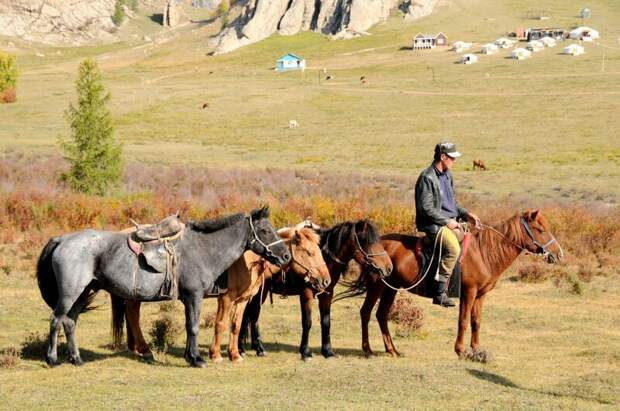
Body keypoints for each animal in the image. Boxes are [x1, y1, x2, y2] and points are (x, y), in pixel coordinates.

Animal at [37, 208, 290, 368]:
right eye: (265, 230)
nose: (286, 256)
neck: (203, 248)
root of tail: (62, 239)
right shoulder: (195, 297)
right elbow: (194, 327)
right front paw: (197, 359)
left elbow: (193, 327)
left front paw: (191, 356)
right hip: (71, 293)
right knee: (56, 319)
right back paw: (52, 359)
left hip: (83, 293)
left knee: (70, 322)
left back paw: (76, 359)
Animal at [113, 224, 332, 362]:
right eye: (310, 252)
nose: (326, 280)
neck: (247, 259)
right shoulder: (226, 298)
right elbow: (220, 324)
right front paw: (215, 354)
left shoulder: (243, 300)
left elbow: (236, 325)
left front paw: (235, 354)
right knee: (133, 315)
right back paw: (144, 350)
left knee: (131, 314)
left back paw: (137, 348)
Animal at [342, 211, 564, 358]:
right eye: (540, 229)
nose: (558, 254)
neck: (484, 252)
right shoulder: (469, 293)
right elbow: (463, 321)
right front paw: (461, 350)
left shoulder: (480, 295)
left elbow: (476, 321)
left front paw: (477, 350)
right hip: (377, 287)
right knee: (366, 313)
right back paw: (368, 350)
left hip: (391, 289)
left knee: (381, 315)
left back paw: (392, 350)